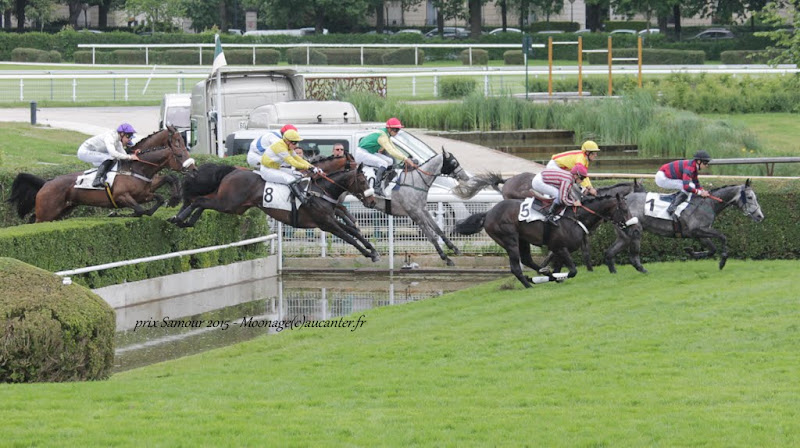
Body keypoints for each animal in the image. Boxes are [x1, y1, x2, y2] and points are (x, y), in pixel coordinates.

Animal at [7, 125, 195, 223]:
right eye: (179, 152)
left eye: (184, 144)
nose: (193, 168)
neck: (135, 168)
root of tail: (46, 182)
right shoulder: (122, 196)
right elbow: (141, 210)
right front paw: (115, 213)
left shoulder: (145, 193)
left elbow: (161, 192)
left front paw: (174, 198)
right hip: (47, 211)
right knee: (35, 220)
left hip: (60, 211)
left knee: (33, 219)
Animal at [608, 179, 764, 272]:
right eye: (750, 197)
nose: (760, 216)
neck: (709, 203)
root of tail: (621, 200)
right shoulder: (698, 230)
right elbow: (722, 236)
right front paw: (723, 261)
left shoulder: (701, 235)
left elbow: (712, 249)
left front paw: (691, 251)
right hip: (635, 230)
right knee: (631, 254)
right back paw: (641, 269)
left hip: (623, 234)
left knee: (610, 251)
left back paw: (614, 271)